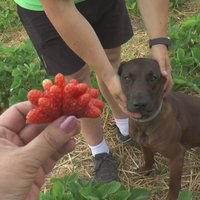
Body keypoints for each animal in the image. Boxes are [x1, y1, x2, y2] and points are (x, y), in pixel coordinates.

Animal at [118, 57, 200, 200]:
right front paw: (146, 170)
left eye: (153, 78)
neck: (145, 122)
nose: (140, 104)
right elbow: (148, 158)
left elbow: (174, 184)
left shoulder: (177, 156)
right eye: (127, 78)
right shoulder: (144, 145)